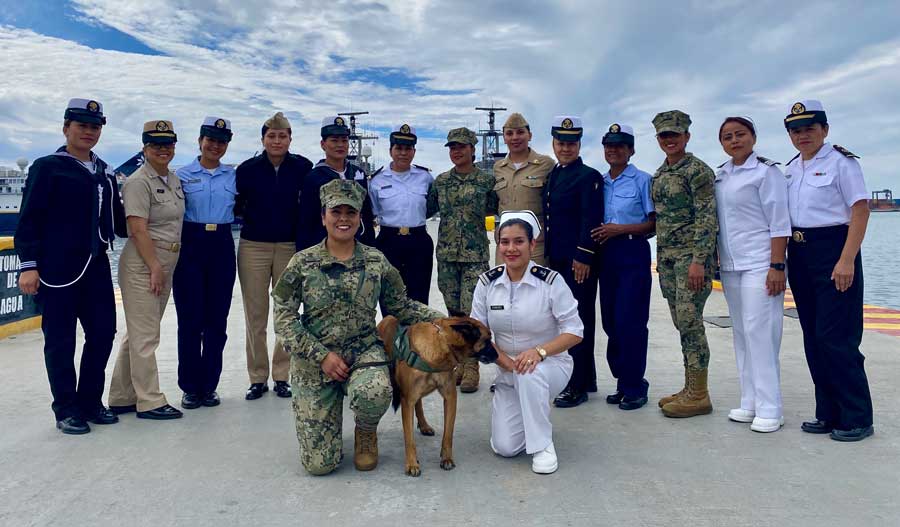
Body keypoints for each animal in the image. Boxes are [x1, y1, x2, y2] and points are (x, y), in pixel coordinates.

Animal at [376, 310, 496, 478]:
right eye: (488, 339)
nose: (498, 356)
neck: (442, 342)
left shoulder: (450, 397)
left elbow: (448, 434)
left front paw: (446, 458)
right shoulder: (407, 401)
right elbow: (409, 439)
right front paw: (412, 464)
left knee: (419, 403)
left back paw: (424, 425)